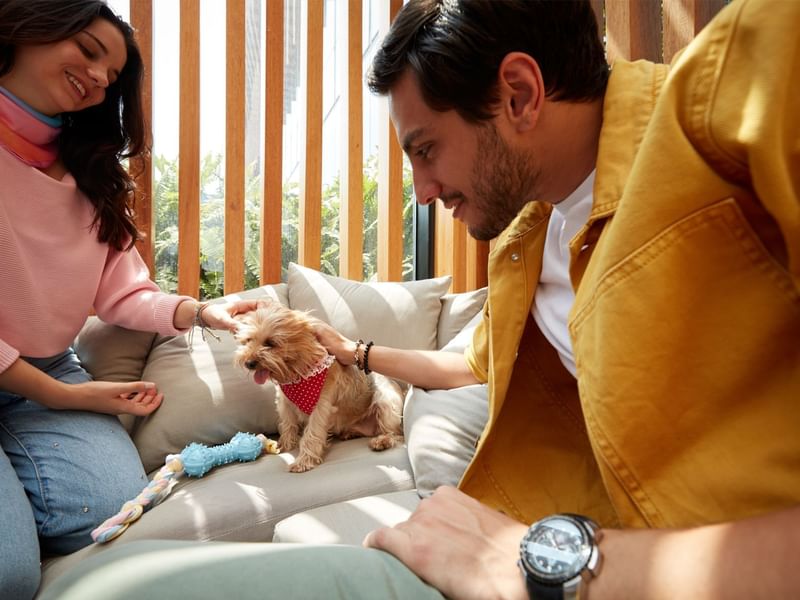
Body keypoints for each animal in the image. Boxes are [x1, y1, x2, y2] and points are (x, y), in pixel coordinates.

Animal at [234, 304, 404, 474]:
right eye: (248, 340)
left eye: (270, 343)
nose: (248, 363)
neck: (296, 374)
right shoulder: (285, 404)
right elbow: (287, 425)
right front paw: (285, 445)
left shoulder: (321, 408)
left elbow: (311, 434)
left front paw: (303, 461)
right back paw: (350, 433)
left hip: (386, 401)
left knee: (396, 433)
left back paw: (382, 440)